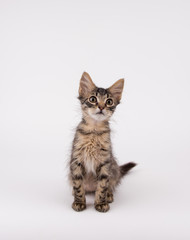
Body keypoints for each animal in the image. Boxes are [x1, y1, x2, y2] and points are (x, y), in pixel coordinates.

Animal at [69, 71, 136, 212]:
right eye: (93, 99)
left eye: (109, 101)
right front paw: (79, 201)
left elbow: (103, 185)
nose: (101, 107)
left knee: (110, 184)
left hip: (114, 167)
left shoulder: (105, 162)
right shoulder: (76, 160)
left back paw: (109, 195)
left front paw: (100, 203)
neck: (94, 131)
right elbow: (78, 185)